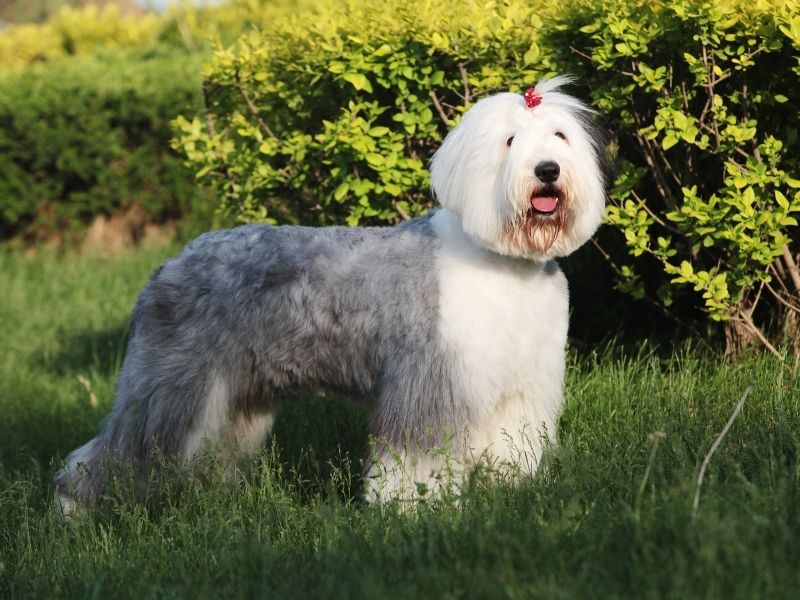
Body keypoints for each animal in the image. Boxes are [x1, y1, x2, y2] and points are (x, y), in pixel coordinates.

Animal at [54, 75, 608, 516]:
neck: (501, 258)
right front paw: (411, 508)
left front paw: (511, 491)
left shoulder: (522, 384)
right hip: (172, 386)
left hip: (235, 395)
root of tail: (168, 266)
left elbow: (514, 445)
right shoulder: (429, 381)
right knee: (108, 455)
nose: (547, 170)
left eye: (560, 136)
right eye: (510, 141)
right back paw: (73, 512)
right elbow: (416, 455)